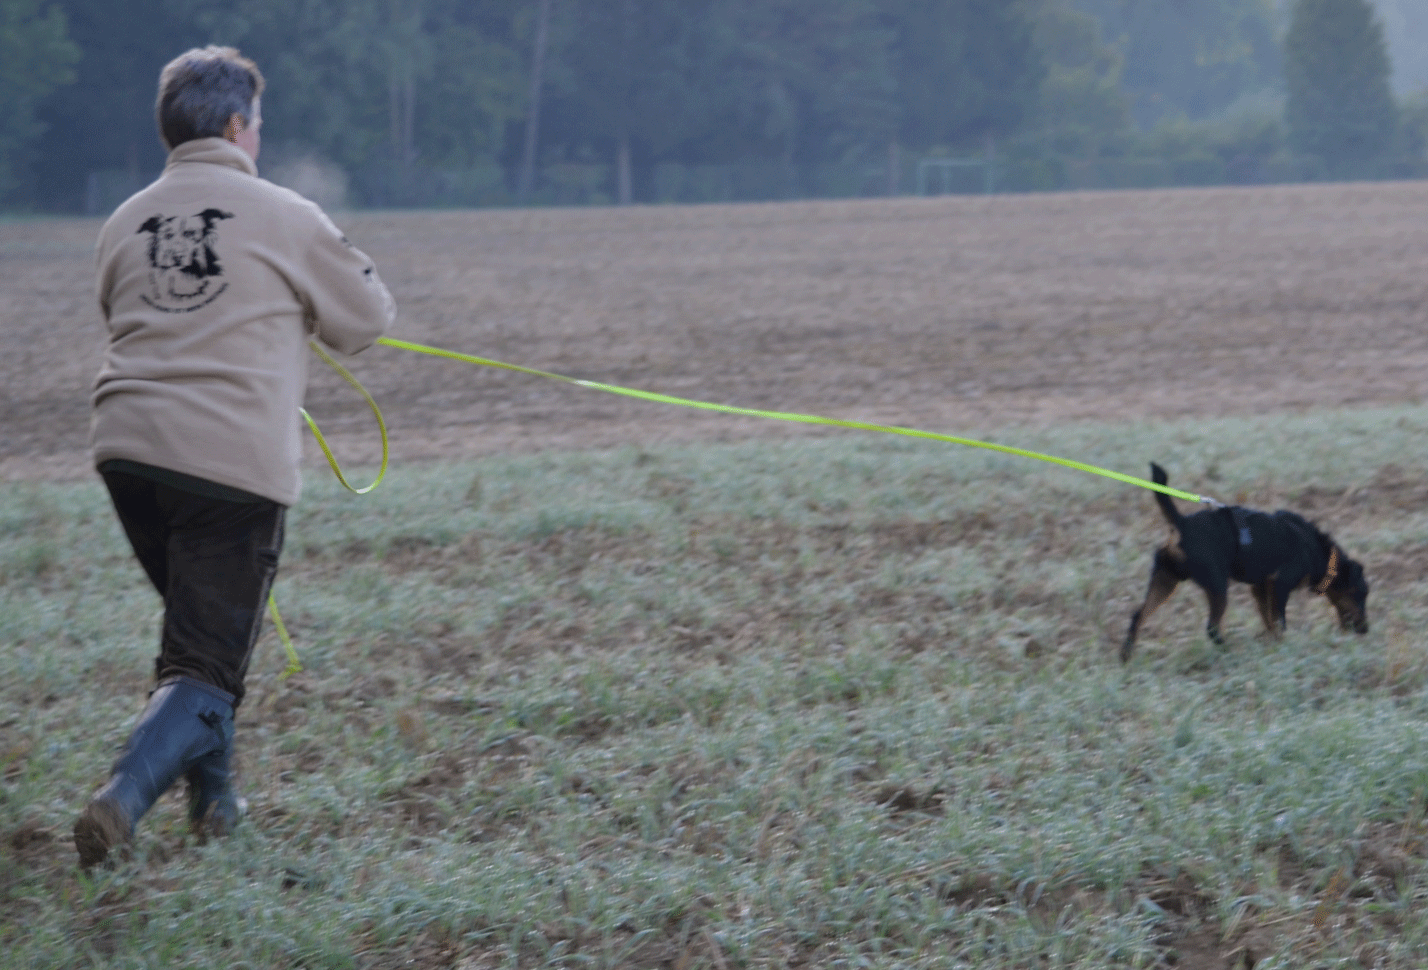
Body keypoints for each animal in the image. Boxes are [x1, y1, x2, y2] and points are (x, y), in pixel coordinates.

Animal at [1119, 465, 1365, 662]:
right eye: (1361, 594)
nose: (1365, 630)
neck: (1319, 553)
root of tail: (1181, 525)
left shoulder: (1261, 589)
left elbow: (1269, 621)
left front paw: (1270, 644)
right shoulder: (1281, 585)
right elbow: (1279, 622)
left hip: (1165, 580)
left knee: (1138, 616)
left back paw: (1126, 657)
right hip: (1217, 586)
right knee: (1212, 628)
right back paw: (1230, 652)